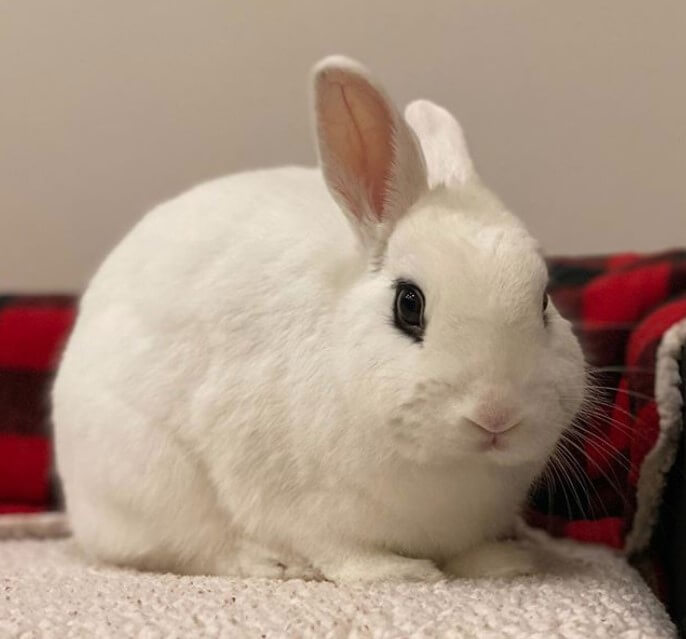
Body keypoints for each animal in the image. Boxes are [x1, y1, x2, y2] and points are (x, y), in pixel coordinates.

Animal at [52, 55, 586, 582]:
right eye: (408, 304)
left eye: (544, 300)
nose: (497, 414)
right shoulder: (299, 506)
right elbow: (340, 550)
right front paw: (403, 574)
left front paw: (503, 565)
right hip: (150, 482)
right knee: (196, 547)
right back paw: (270, 563)